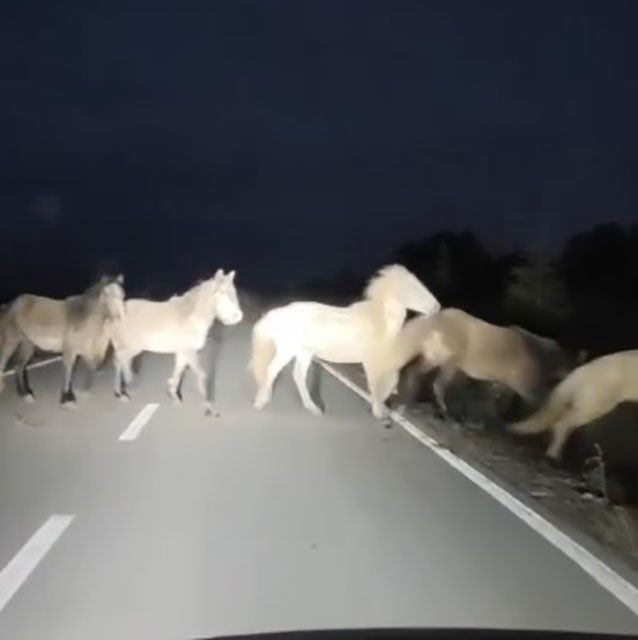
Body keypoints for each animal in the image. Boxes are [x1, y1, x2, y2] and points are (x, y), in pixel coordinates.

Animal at [0, 276, 127, 404]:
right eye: (107, 294)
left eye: (122, 295)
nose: (120, 317)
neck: (83, 317)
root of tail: (10, 305)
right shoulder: (70, 349)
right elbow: (69, 369)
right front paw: (67, 398)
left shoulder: (87, 349)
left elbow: (92, 367)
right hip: (11, 341)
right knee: (4, 362)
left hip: (28, 344)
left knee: (19, 367)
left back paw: (25, 394)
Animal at [110, 266, 242, 412]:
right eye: (222, 293)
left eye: (234, 292)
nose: (238, 317)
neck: (192, 317)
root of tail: (115, 312)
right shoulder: (188, 352)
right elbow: (200, 374)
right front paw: (208, 404)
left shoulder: (182, 353)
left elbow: (179, 373)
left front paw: (174, 395)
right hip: (132, 347)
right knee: (120, 360)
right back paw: (124, 391)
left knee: (118, 362)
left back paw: (122, 390)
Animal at [249, 264, 440, 420]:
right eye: (413, 288)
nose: (437, 307)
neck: (380, 321)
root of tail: (276, 314)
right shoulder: (373, 363)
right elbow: (378, 385)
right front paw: (379, 413)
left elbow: (390, 383)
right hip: (288, 350)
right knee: (272, 370)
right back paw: (261, 401)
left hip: (305, 353)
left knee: (298, 376)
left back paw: (313, 409)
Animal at [384, 308, 580, 418]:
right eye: (569, 365)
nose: (570, 371)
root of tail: (437, 319)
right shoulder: (525, 384)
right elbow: (538, 400)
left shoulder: (502, 382)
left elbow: (489, 397)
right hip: (449, 358)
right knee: (438, 382)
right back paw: (439, 406)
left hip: (435, 356)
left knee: (415, 372)